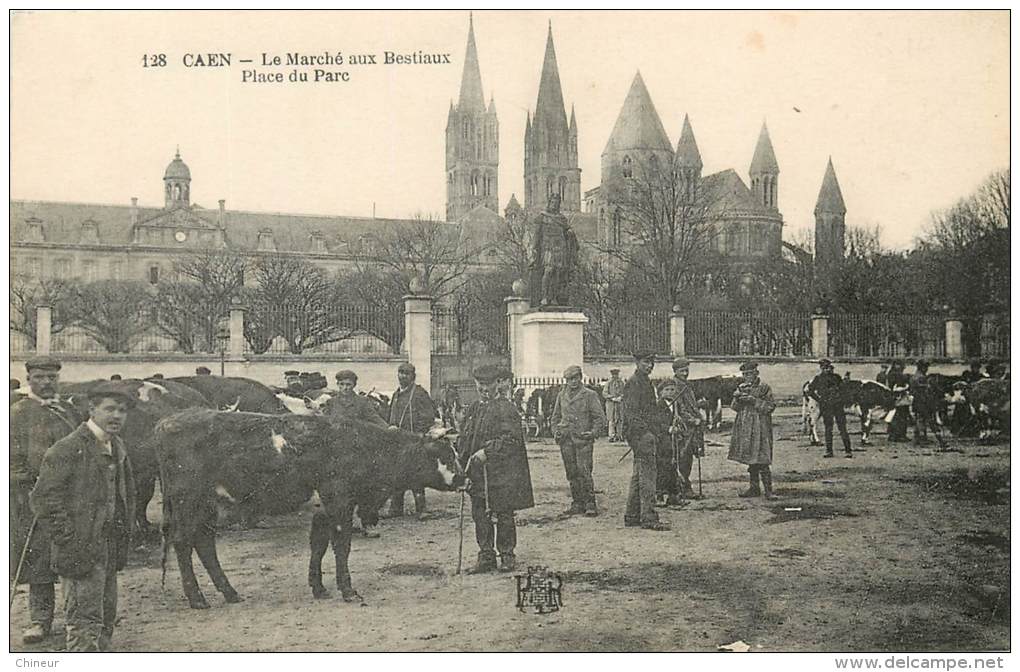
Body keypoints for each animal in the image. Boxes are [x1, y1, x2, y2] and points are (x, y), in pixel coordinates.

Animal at [153, 409, 465, 611]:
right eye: (446, 455)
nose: (465, 479)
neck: (362, 446)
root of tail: (167, 421)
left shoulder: (322, 508)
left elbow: (319, 545)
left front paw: (319, 587)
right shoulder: (339, 501)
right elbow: (341, 545)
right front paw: (347, 590)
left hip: (207, 505)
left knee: (204, 544)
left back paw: (229, 593)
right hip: (188, 501)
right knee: (183, 542)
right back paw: (197, 598)